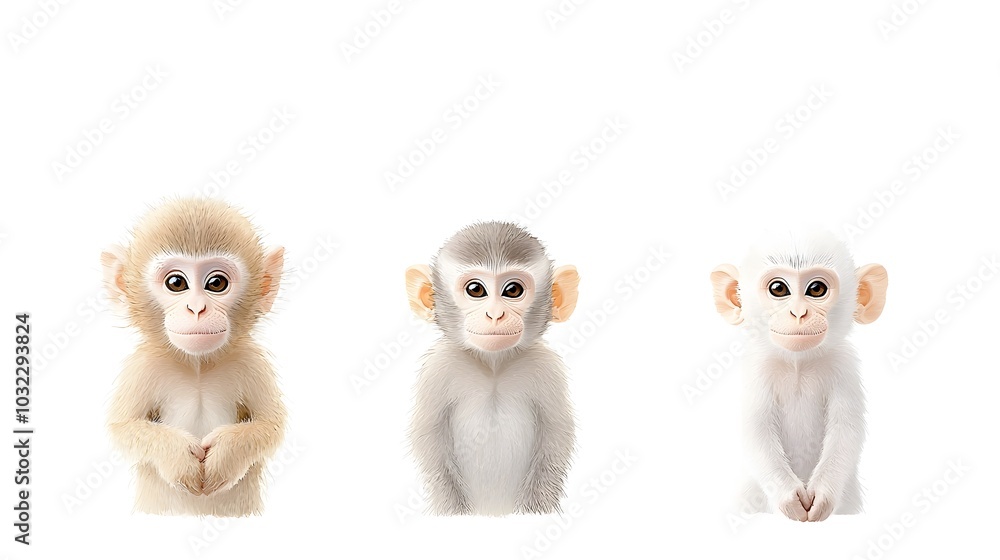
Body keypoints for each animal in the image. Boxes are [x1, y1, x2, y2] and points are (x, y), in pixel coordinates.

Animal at [101, 198, 286, 516]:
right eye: (176, 283)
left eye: (216, 283)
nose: (197, 309)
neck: (198, 367)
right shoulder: (142, 365)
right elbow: (122, 428)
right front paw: (176, 457)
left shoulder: (252, 361)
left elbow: (271, 426)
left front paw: (226, 455)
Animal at [405, 222, 580, 516]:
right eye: (476, 289)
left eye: (513, 290)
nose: (495, 315)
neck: (494, 368)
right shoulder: (438, 367)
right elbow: (429, 437)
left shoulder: (546, 367)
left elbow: (555, 434)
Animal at [711, 231, 888, 522]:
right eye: (778, 289)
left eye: (816, 289)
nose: (798, 313)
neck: (798, 365)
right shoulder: (758, 368)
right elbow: (756, 430)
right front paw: (788, 497)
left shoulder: (845, 366)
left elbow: (846, 430)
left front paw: (823, 496)